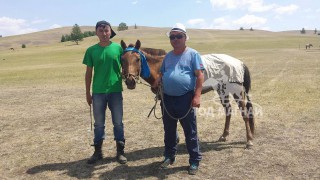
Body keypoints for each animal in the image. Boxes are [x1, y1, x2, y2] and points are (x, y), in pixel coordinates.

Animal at [120, 39, 255, 148]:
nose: (130, 81)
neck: (159, 68)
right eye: (122, 60)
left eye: (137, 59)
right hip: (222, 90)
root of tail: (239, 63)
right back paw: (224, 135)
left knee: (244, 113)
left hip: (237, 91)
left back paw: (249, 140)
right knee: (228, 110)